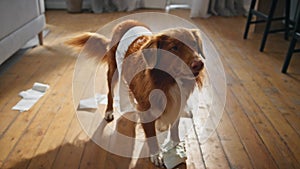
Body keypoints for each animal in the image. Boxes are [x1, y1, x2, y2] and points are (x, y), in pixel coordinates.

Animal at [67, 19, 205, 168]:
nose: (199, 64)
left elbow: (174, 128)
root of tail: (126, 21)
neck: (168, 80)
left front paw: (177, 146)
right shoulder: (146, 111)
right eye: (174, 48)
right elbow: (151, 135)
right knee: (110, 93)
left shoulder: (177, 103)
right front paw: (156, 155)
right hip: (113, 72)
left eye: (194, 43)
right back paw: (109, 111)